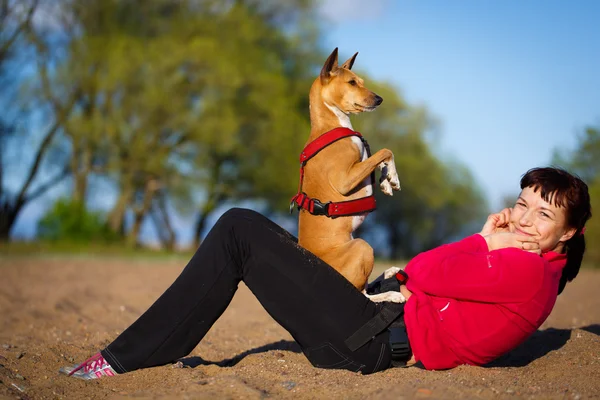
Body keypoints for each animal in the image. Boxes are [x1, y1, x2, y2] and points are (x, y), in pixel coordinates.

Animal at [290, 47, 406, 304]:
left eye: (360, 81)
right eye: (352, 82)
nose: (379, 99)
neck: (333, 125)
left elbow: (379, 157)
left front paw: (386, 181)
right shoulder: (345, 180)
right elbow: (385, 151)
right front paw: (392, 177)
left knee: (367, 286)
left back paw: (389, 273)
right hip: (363, 246)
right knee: (364, 294)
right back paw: (392, 292)